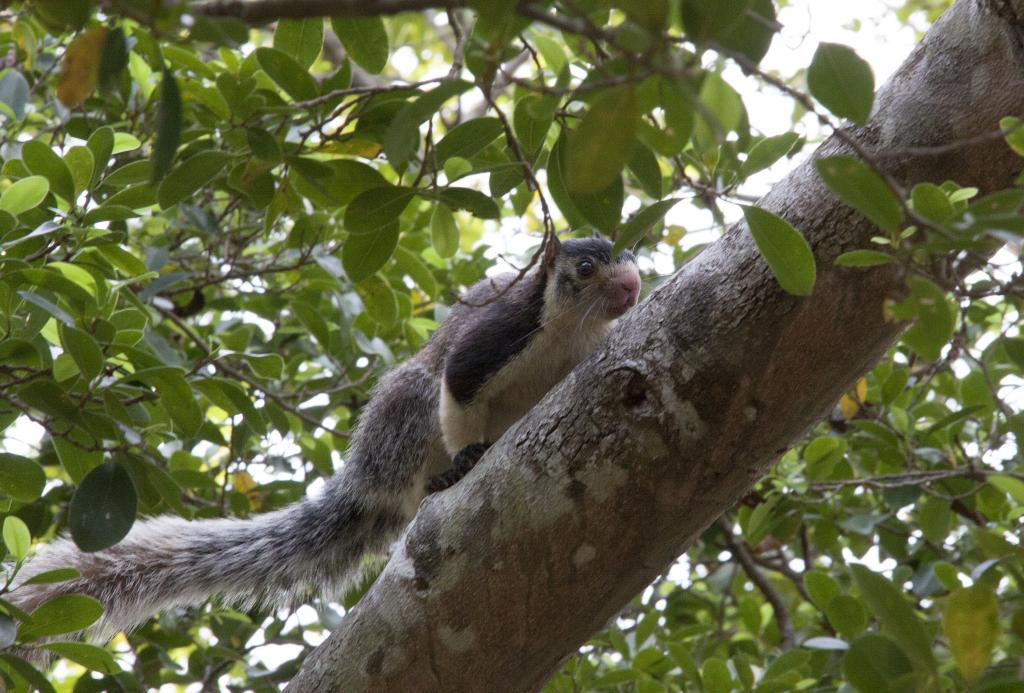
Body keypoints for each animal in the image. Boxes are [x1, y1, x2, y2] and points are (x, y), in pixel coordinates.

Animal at [9, 233, 638, 642]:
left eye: (633, 256)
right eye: (586, 267)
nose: (633, 283)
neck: (565, 333)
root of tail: (364, 486)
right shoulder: (499, 336)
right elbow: (458, 387)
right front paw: (466, 457)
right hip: (400, 423)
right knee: (419, 421)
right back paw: (442, 477)